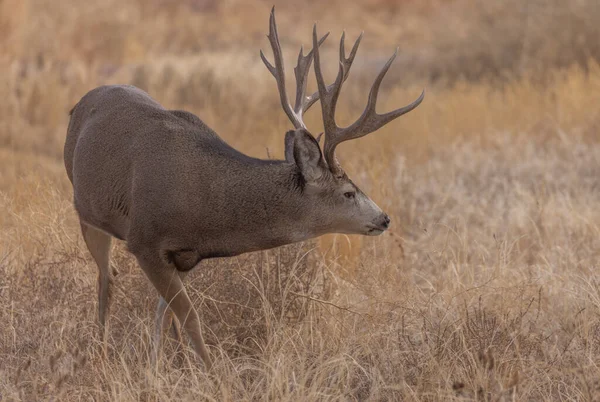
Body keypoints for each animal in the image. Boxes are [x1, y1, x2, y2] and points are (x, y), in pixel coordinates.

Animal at [63, 7, 424, 370]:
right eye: (348, 192)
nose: (384, 218)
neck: (206, 202)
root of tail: (79, 102)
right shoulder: (145, 241)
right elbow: (190, 318)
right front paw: (212, 374)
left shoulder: (185, 257)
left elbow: (165, 318)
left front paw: (165, 368)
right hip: (87, 211)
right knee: (106, 277)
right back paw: (99, 354)